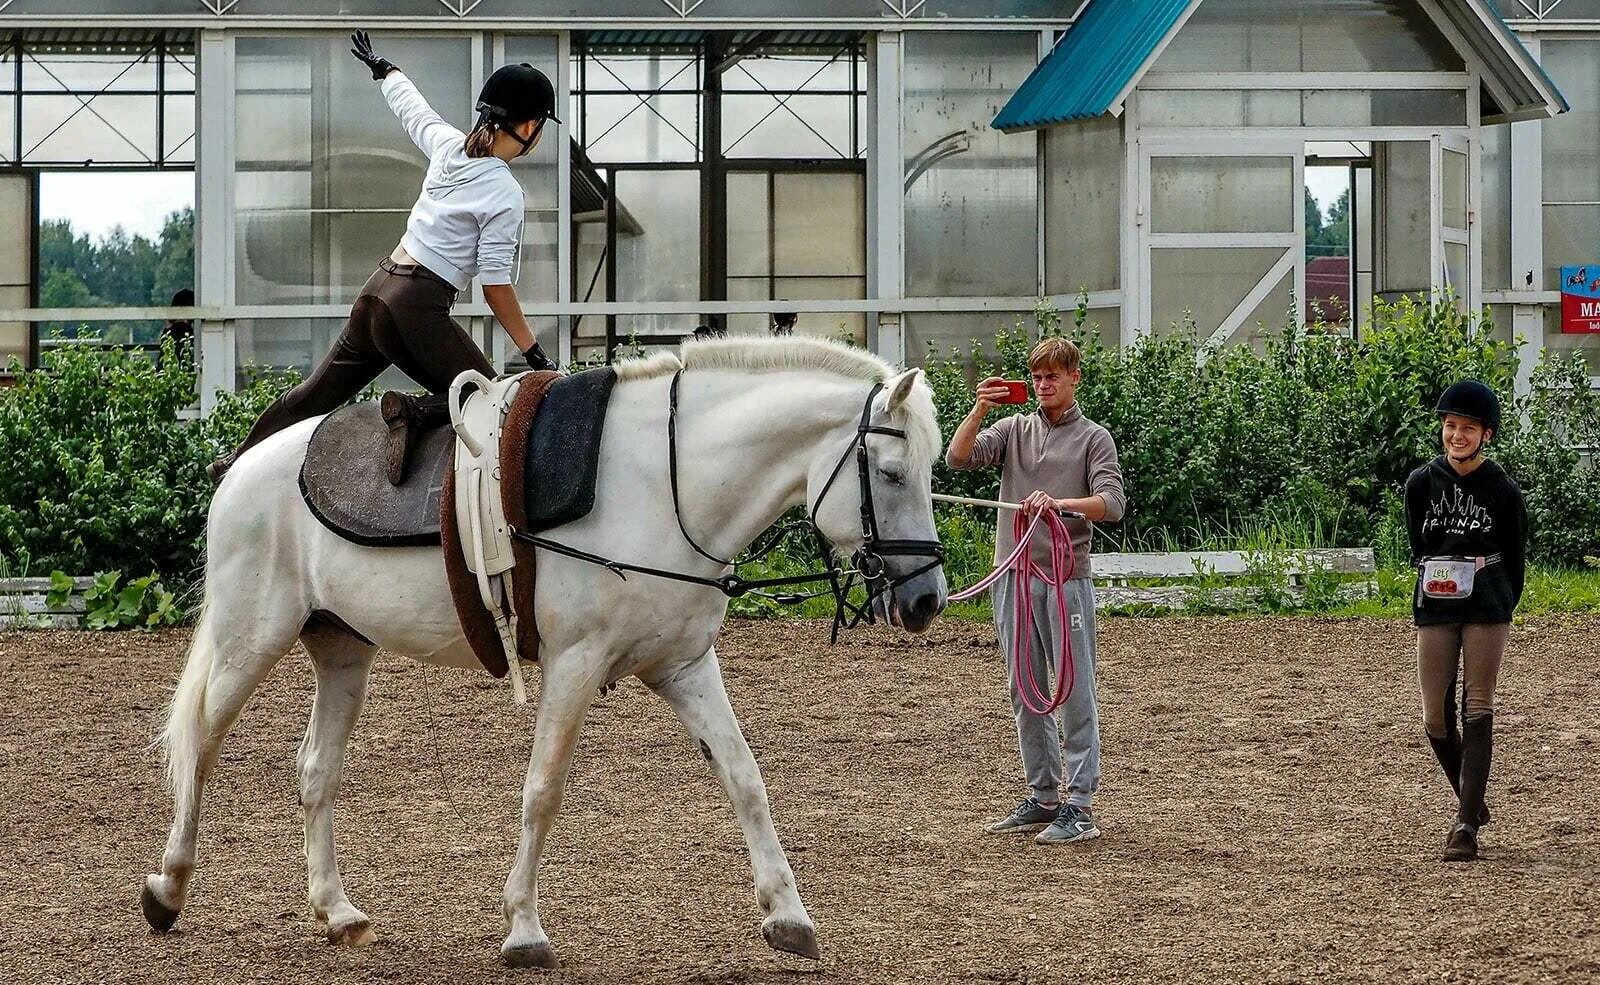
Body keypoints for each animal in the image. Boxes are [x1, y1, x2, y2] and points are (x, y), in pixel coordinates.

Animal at [140, 338, 947, 972]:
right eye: (893, 473)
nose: (927, 600)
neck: (665, 484)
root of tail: (243, 465)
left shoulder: (684, 667)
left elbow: (746, 778)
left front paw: (788, 917)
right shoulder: (575, 665)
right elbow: (543, 790)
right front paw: (524, 930)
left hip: (343, 653)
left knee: (315, 771)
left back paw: (337, 912)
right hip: (251, 639)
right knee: (201, 744)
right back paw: (167, 889)